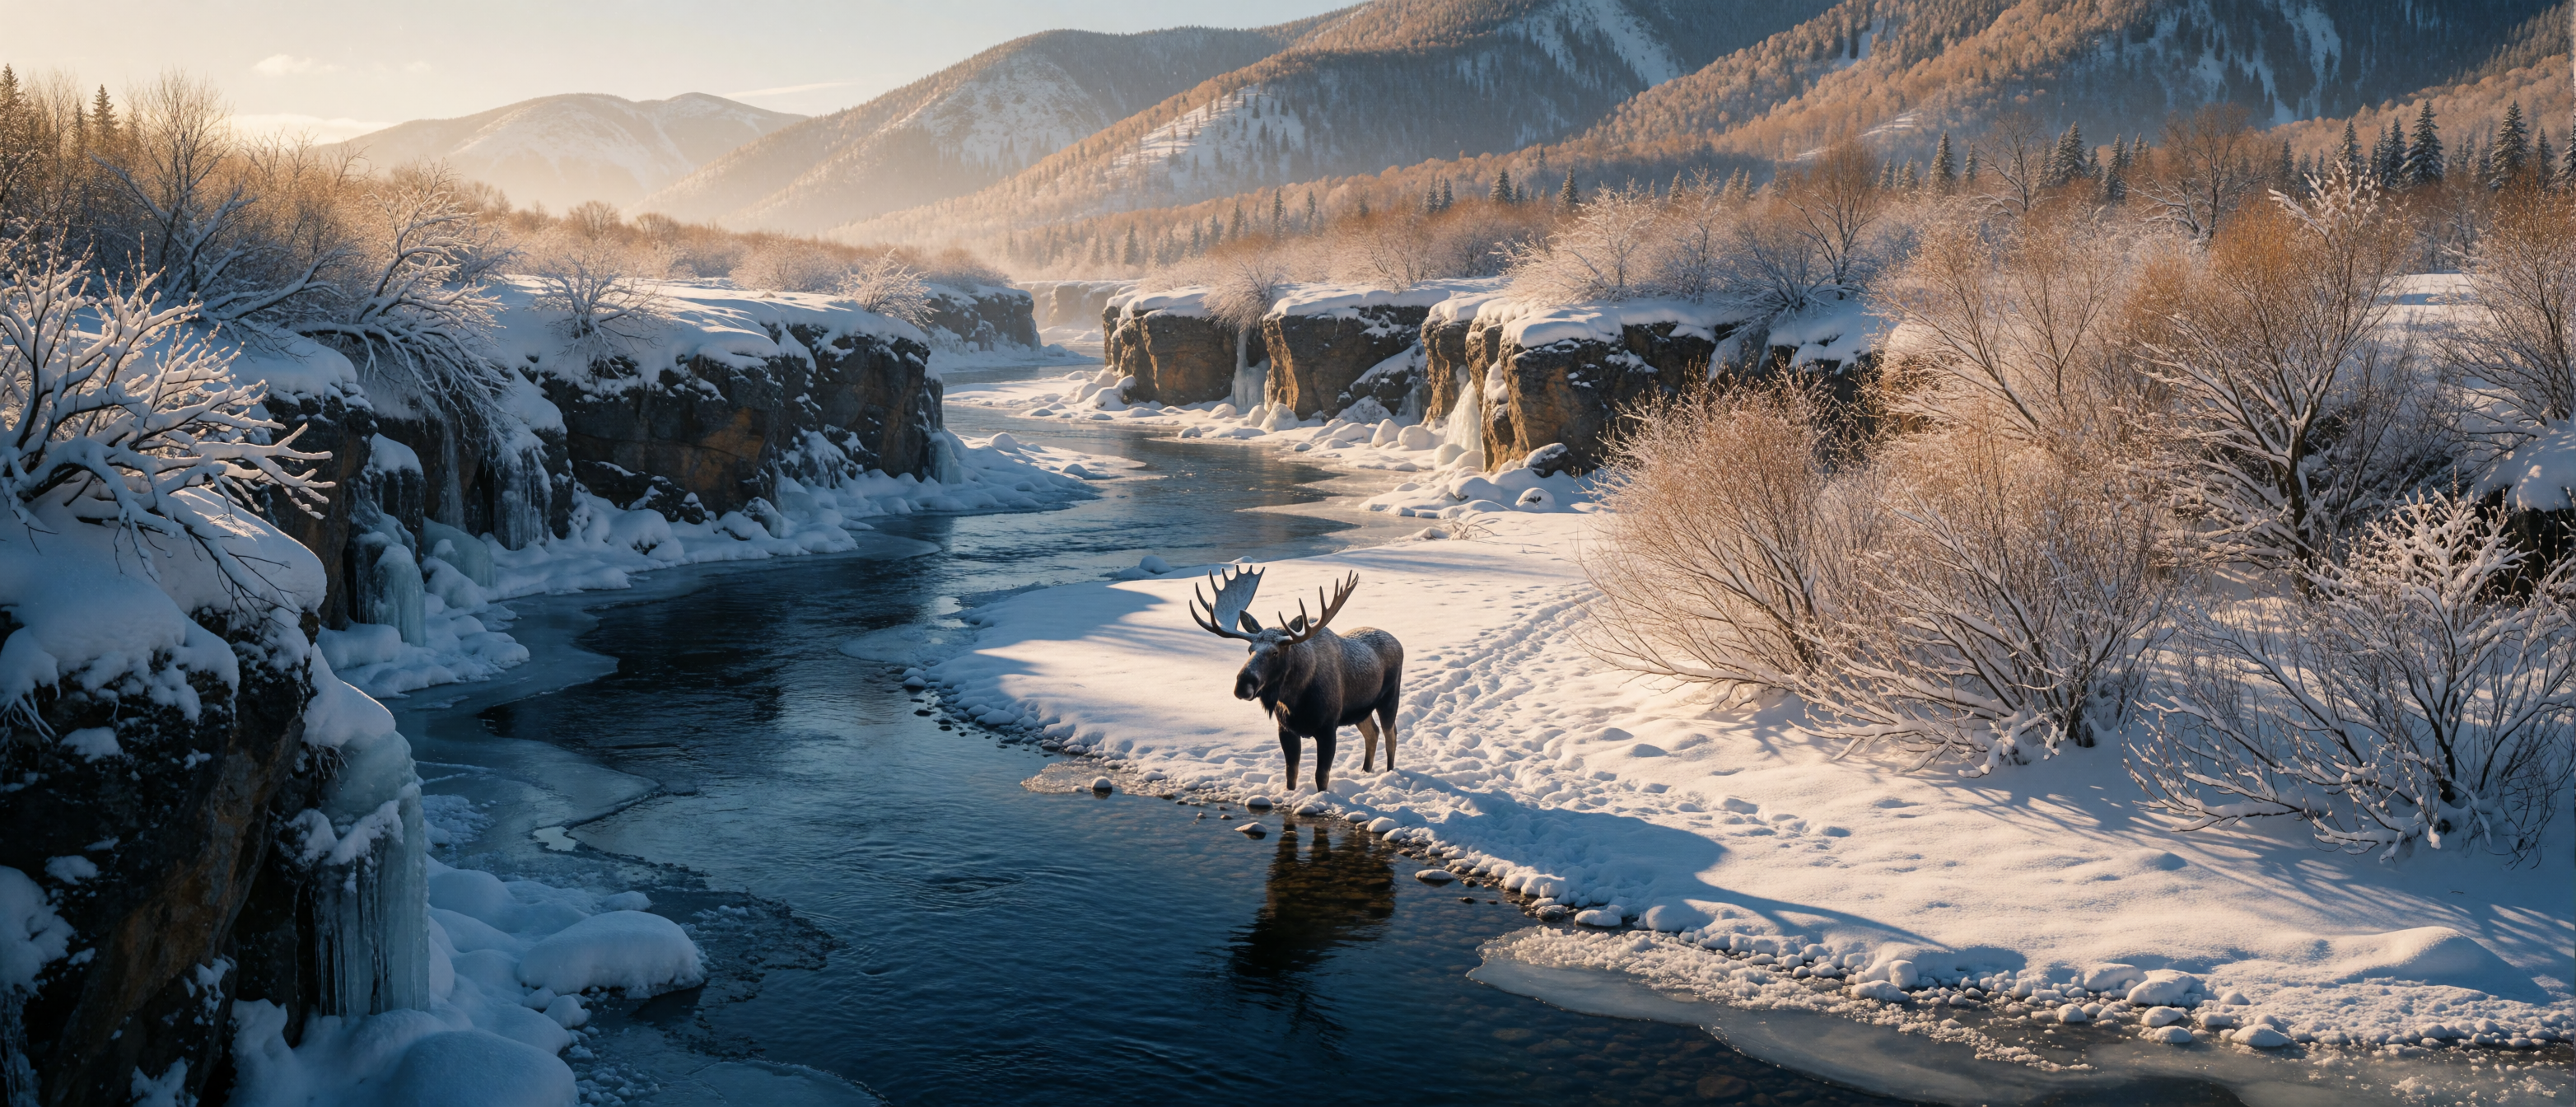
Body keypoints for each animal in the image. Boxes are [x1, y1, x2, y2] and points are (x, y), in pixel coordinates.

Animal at [1189, 566, 1404, 792]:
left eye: (1275, 653)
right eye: (1250, 649)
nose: (1242, 685)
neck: (1295, 699)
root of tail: (1398, 643)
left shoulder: (1328, 727)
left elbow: (1321, 777)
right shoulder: (1285, 729)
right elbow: (1290, 774)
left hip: (1390, 698)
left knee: (1391, 733)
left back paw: (1390, 772)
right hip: (1361, 711)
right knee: (1373, 733)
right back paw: (1365, 771)